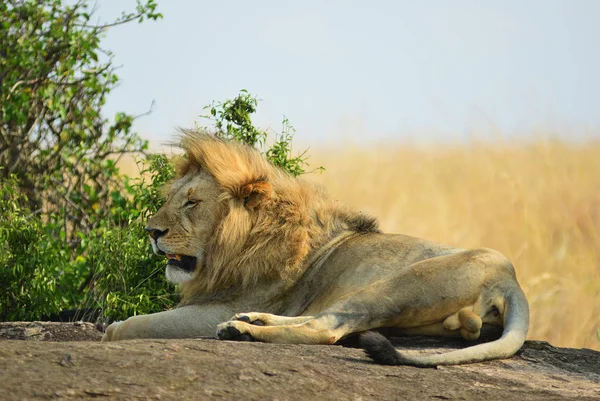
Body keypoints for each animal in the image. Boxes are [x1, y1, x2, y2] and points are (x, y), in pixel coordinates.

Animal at [103, 130, 528, 366]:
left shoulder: (215, 308)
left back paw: (243, 331)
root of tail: (511, 280)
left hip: (397, 285)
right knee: (318, 318)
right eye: (170, 199)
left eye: (192, 203)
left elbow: (139, 323)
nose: (150, 231)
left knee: (326, 328)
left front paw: (110, 331)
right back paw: (251, 321)